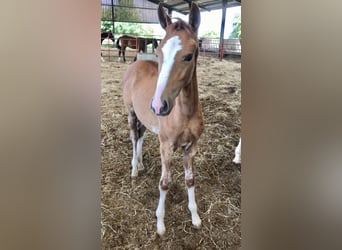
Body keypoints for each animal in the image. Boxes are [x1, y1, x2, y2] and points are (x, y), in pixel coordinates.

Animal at [121, 2, 203, 236]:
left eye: (189, 55)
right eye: (158, 52)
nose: (158, 105)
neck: (184, 113)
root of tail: (135, 64)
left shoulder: (191, 146)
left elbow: (190, 180)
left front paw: (195, 217)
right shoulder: (166, 146)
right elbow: (164, 183)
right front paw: (160, 224)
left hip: (145, 119)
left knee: (140, 136)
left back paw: (140, 164)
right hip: (131, 113)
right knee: (133, 137)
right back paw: (134, 169)